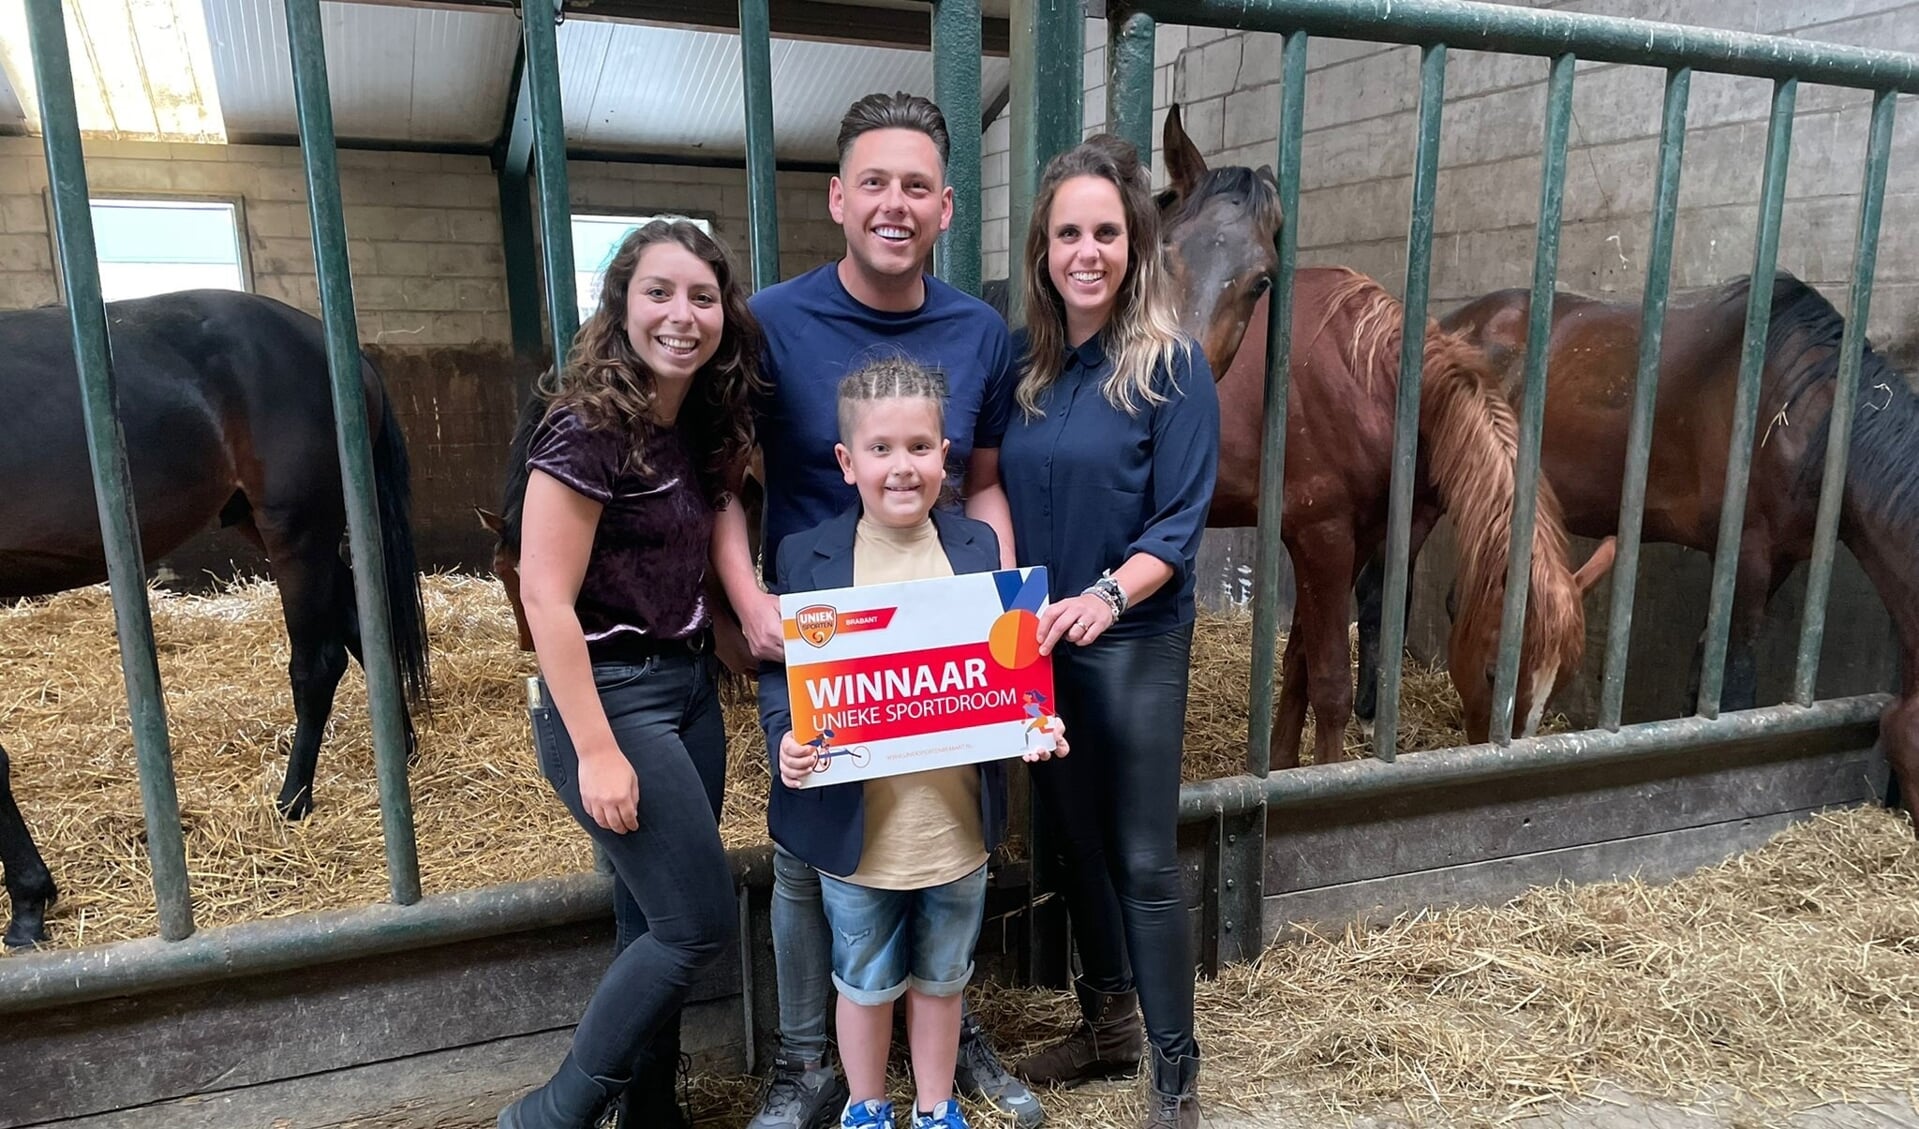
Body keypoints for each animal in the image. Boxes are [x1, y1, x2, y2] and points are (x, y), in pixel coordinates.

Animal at [0, 291, 427, 944]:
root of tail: (339, 348)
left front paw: (28, 904)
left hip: (297, 528)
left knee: (318, 663)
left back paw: (292, 802)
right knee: (363, 630)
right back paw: (396, 754)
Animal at [1350, 270, 1919, 821]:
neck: (1809, 417)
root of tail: (1453, 323)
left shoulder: (1770, 563)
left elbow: (1705, 672)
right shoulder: (1749, 555)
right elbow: (1735, 681)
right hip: (1425, 494)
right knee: (1381, 594)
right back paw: (1371, 719)